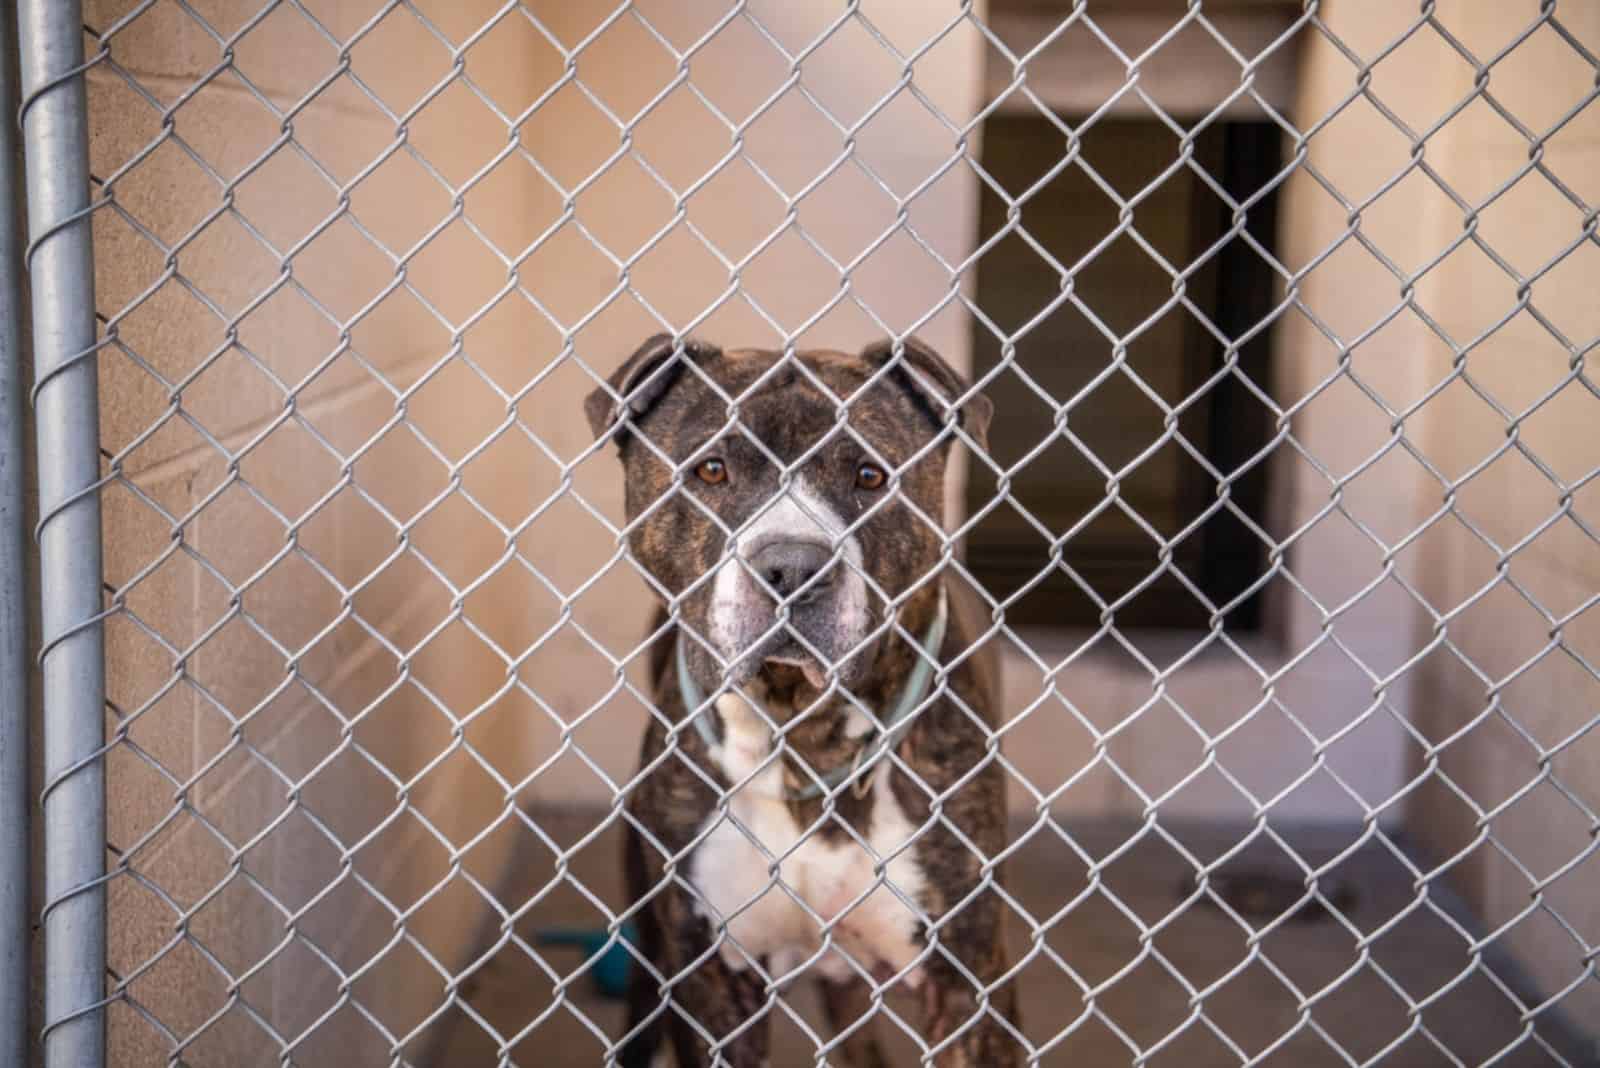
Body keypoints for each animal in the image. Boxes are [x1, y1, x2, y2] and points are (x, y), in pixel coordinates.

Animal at [588, 335, 1024, 1068]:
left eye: (870, 475)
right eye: (712, 469)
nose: (793, 566)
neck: (802, 734)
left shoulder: (969, 987)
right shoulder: (713, 986)